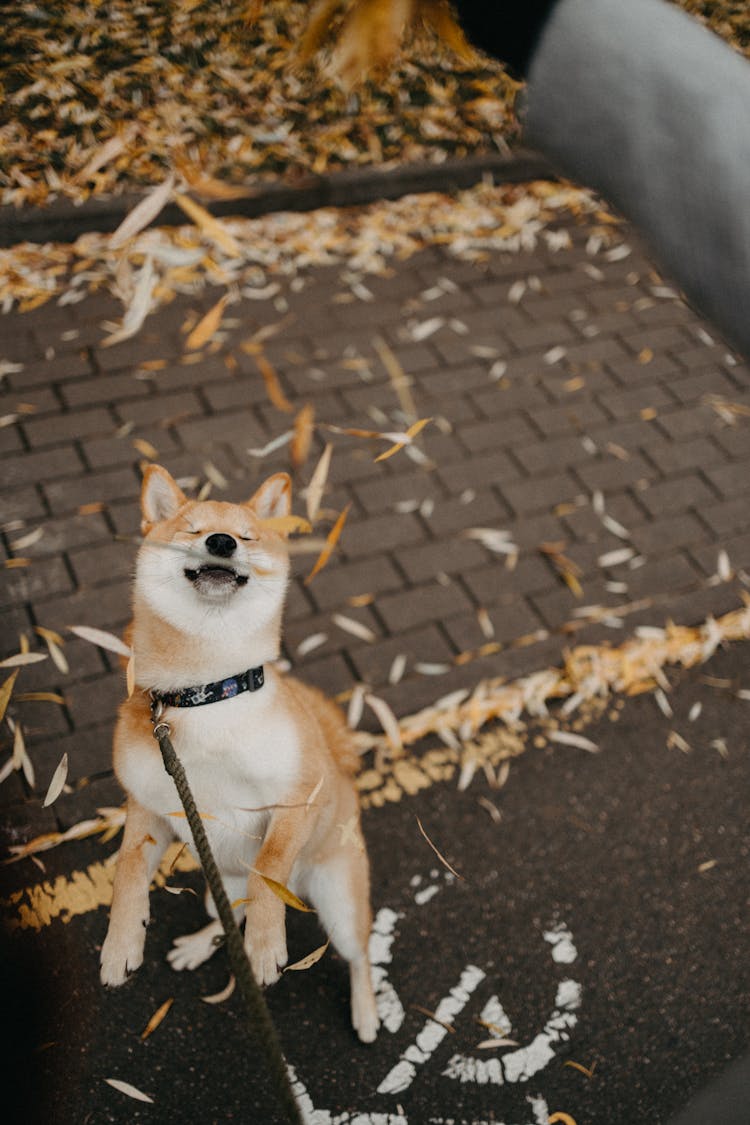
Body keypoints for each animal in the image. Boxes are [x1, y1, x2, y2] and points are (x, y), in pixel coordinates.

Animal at [98, 461, 382, 1039]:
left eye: (247, 536)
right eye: (192, 528)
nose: (222, 541)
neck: (208, 693)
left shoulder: (296, 796)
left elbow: (269, 867)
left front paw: (268, 946)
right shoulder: (147, 806)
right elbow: (128, 874)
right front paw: (120, 944)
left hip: (339, 901)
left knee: (358, 953)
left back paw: (365, 1011)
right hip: (216, 888)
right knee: (229, 917)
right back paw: (199, 945)